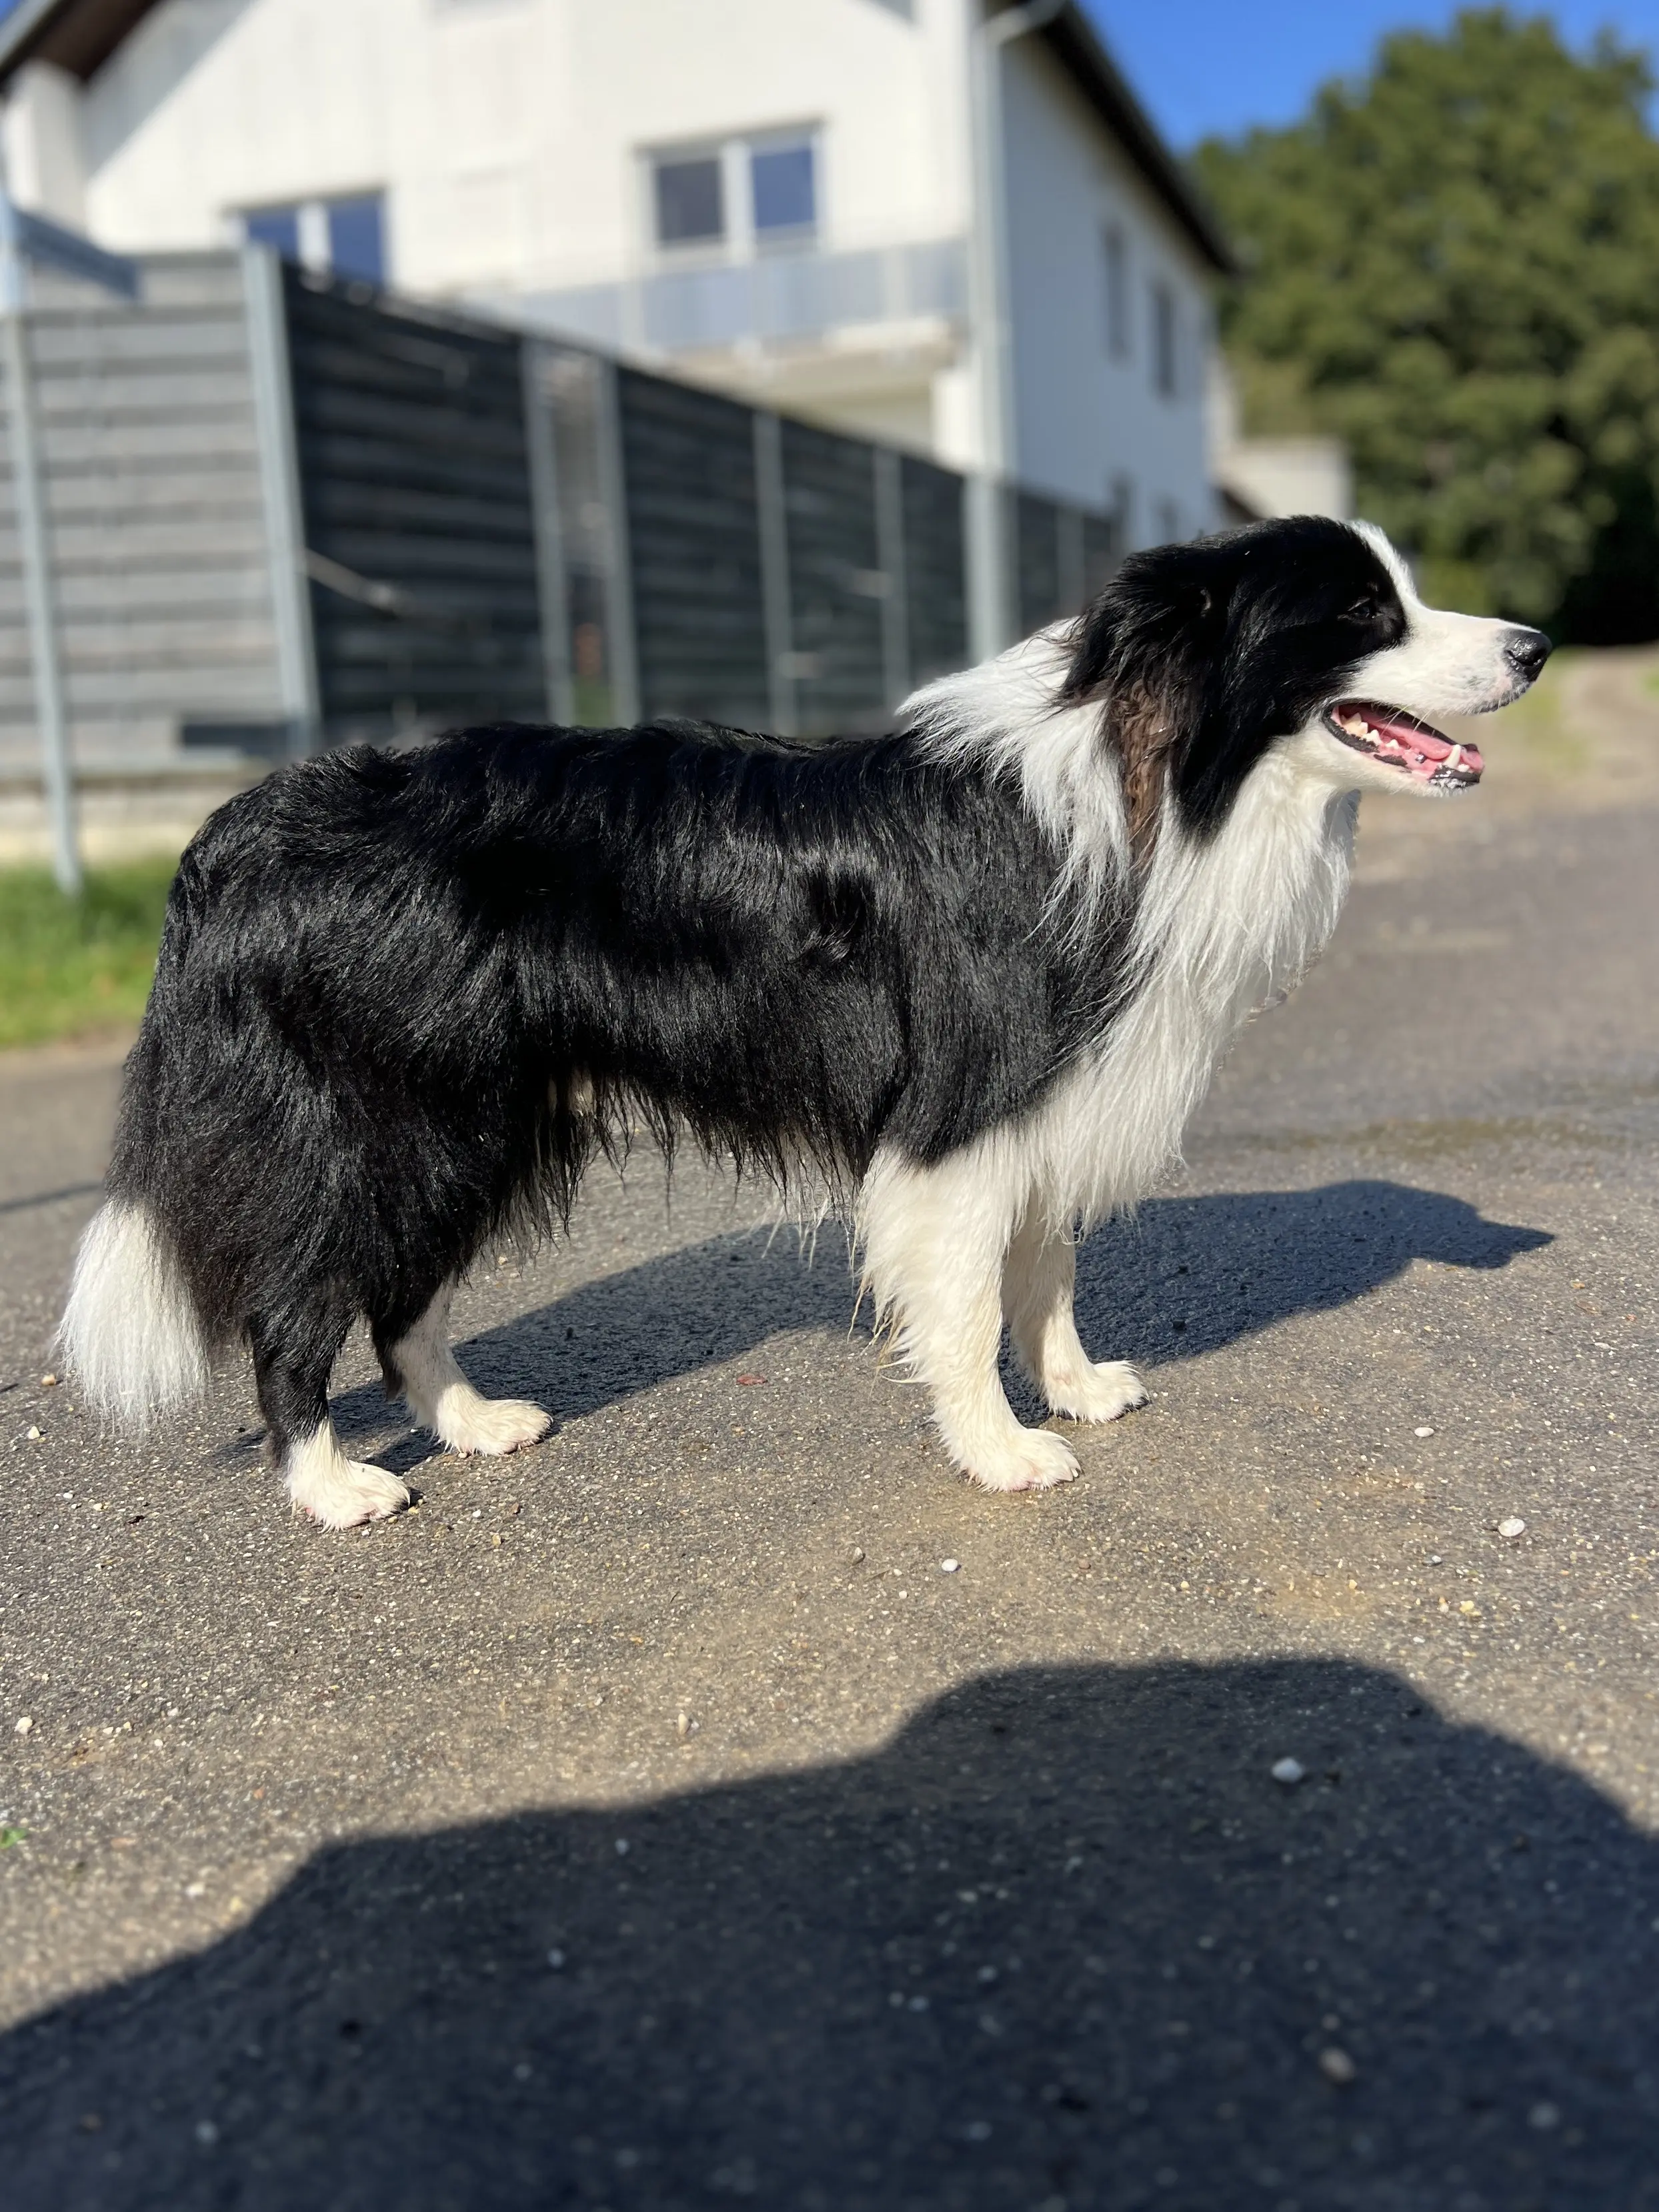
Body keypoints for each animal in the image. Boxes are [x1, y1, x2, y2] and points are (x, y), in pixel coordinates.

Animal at [61, 517, 1548, 1522]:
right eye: (1363, 609)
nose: (1532, 645)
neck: (1156, 786)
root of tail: (239, 829)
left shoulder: (1041, 1093)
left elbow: (1047, 1268)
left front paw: (1071, 1384)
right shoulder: (961, 1105)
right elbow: (967, 1297)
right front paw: (1001, 1448)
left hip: (476, 1113)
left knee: (405, 1291)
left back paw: (473, 1421)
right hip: (384, 1110)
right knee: (299, 1298)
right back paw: (329, 1483)